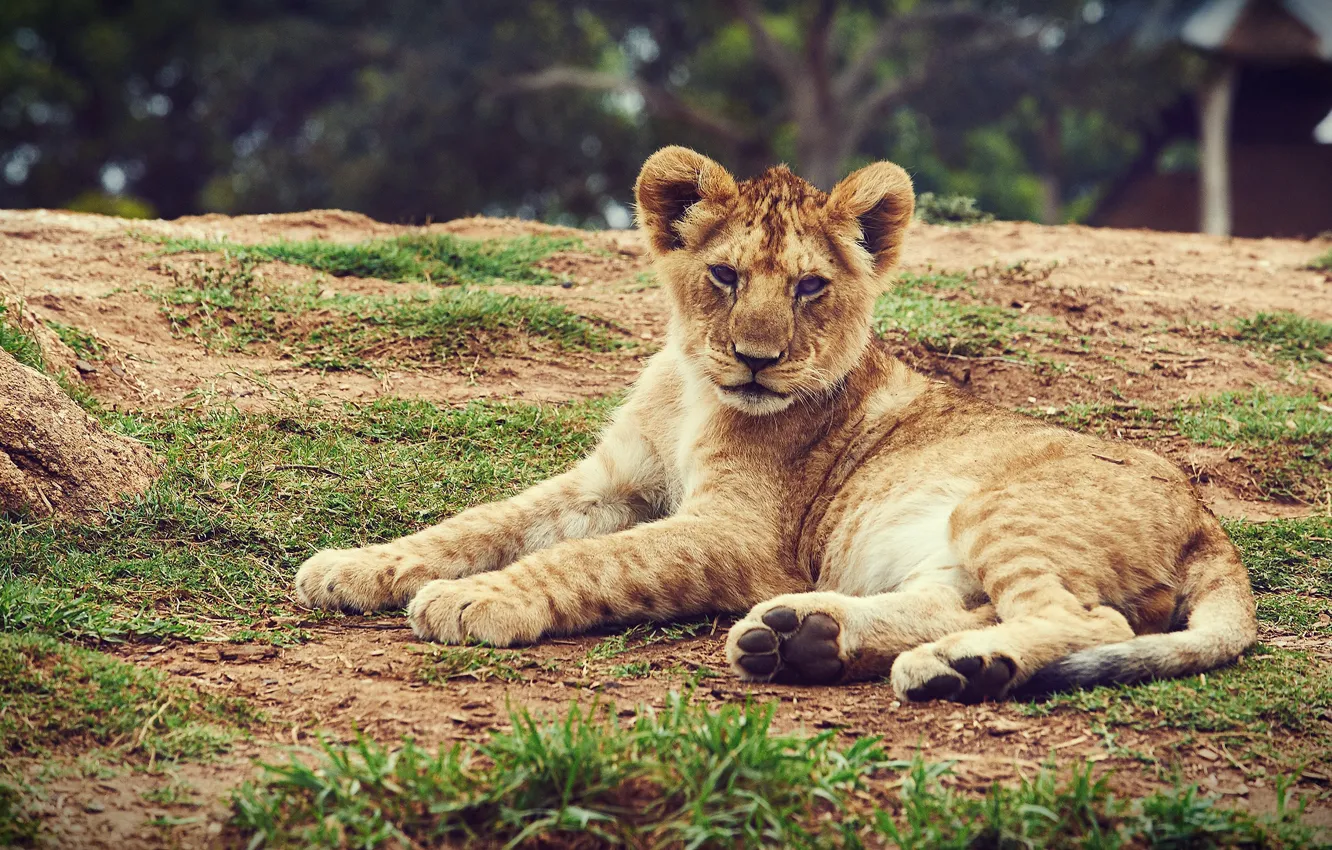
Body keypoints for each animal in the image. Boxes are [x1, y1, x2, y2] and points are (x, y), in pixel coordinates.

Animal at [294, 147, 1256, 702]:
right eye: (724, 276)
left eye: (809, 287)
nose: (756, 359)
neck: (692, 389)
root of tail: (1211, 522)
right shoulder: (611, 481)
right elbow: (482, 521)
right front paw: (352, 567)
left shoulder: (739, 534)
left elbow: (591, 562)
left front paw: (476, 600)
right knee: (951, 602)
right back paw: (816, 642)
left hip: (1003, 508)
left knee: (1097, 625)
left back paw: (942, 667)